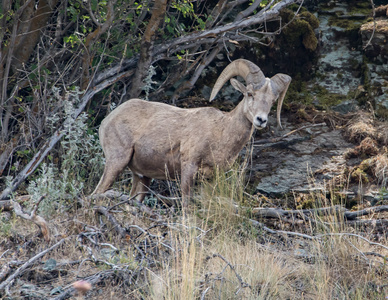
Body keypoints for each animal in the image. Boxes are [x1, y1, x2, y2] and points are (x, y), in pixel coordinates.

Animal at [91, 60, 292, 207]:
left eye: (272, 100)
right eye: (250, 94)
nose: (260, 120)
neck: (221, 133)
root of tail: (107, 120)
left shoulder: (210, 179)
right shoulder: (189, 168)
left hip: (141, 177)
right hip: (117, 161)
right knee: (96, 193)